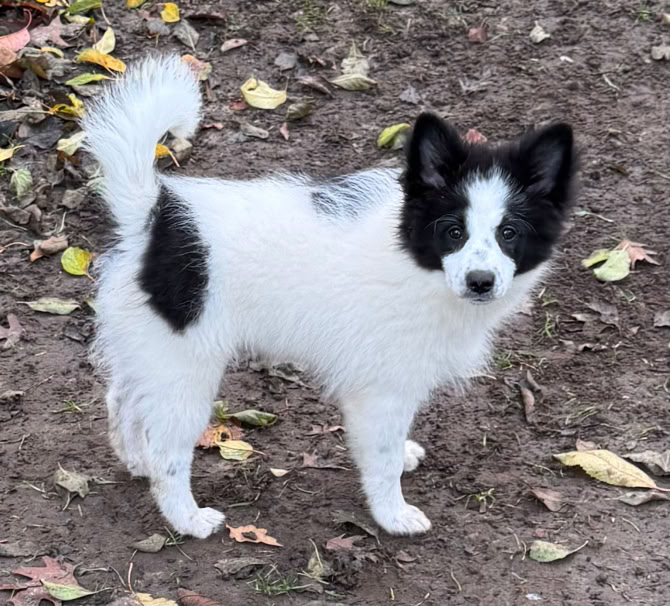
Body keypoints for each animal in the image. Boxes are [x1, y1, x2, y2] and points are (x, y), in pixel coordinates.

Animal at [82, 55, 577, 539]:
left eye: (509, 234)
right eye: (453, 232)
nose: (480, 281)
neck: (417, 265)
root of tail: (152, 220)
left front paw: (404, 455)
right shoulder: (381, 388)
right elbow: (381, 459)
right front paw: (393, 515)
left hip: (149, 349)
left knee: (122, 400)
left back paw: (135, 460)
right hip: (184, 368)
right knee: (168, 451)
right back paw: (187, 518)